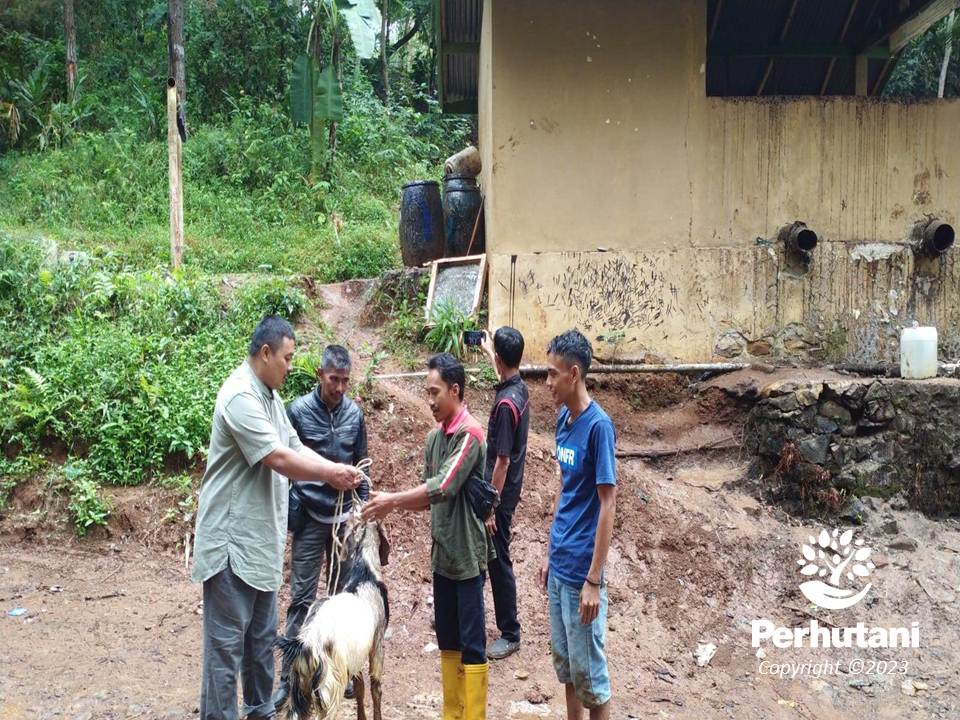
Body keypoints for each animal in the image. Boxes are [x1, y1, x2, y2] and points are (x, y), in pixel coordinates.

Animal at [276, 512, 388, 720]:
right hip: (330, 687)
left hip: (300, 688)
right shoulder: (377, 644)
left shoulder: (354, 656)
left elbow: (360, 686)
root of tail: (308, 642)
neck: (364, 573)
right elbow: (376, 687)